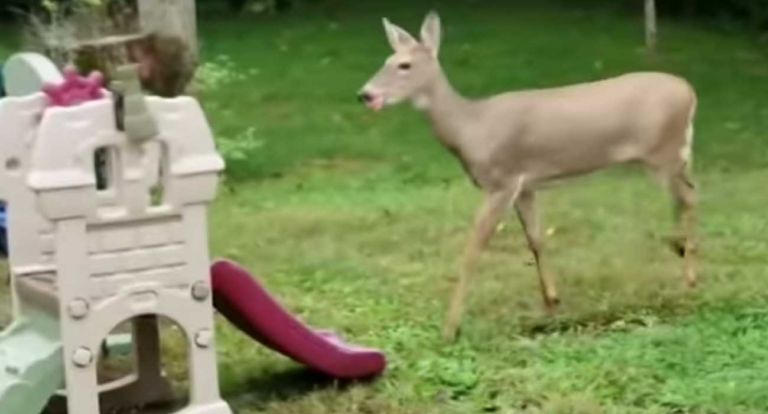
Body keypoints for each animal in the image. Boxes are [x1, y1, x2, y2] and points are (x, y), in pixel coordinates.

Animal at [357, 11, 698, 342]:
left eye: (404, 65)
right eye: (386, 59)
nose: (365, 94)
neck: (472, 127)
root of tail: (690, 93)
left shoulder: (500, 182)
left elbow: (473, 248)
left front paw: (450, 328)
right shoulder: (525, 186)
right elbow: (536, 239)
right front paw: (552, 303)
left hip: (663, 152)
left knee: (690, 195)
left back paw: (690, 276)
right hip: (673, 155)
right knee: (686, 193)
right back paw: (679, 248)